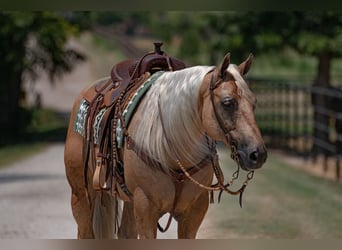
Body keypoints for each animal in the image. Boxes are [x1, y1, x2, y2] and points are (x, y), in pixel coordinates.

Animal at [64, 52, 268, 238]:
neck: (173, 150)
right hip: (81, 195)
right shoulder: (146, 209)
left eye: (254, 102)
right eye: (227, 103)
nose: (258, 154)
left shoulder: (193, 213)